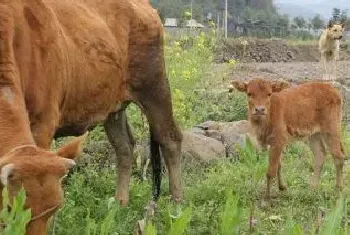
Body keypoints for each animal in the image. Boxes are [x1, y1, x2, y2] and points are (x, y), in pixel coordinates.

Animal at [0, 0, 180, 234]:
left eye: (55, 208)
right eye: (10, 209)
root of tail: (145, 6)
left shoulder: (43, 123)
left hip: (154, 87)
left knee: (170, 140)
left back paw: (177, 206)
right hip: (114, 108)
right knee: (125, 147)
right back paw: (120, 204)